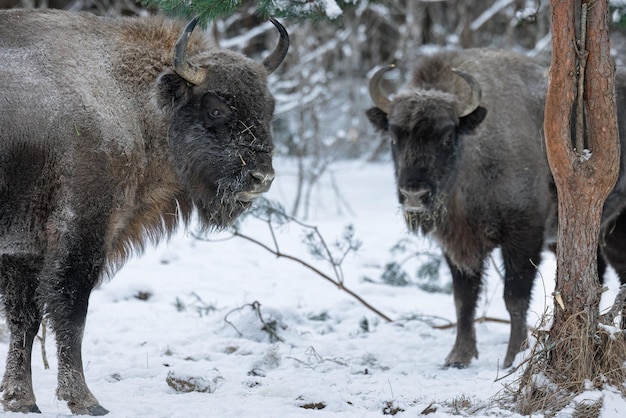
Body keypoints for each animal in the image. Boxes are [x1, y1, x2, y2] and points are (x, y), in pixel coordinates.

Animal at [0, 8, 286, 416]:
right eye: (216, 108)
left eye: (269, 108)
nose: (261, 177)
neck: (135, 100)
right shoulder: (82, 234)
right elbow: (71, 313)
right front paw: (85, 400)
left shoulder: (23, 248)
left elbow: (24, 318)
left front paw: (20, 399)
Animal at [366, 49, 626, 370]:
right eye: (393, 137)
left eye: (447, 136)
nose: (414, 195)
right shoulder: (458, 247)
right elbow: (463, 299)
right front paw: (458, 356)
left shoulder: (523, 236)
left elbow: (514, 297)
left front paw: (514, 357)